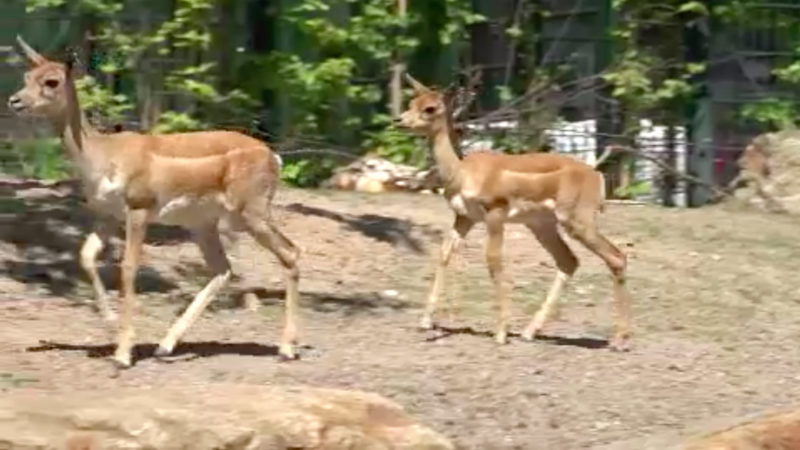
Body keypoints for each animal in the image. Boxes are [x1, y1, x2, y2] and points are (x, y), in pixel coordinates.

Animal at [7, 37, 302, 370]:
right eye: (26, 77)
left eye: (52, 81)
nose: (14, 100)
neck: (103, 156)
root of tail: (274, 158)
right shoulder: (107, 213)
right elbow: (86, 255)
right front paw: (110, 322)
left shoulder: (139, 206)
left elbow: (128, 266)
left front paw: (123, 353)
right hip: (203, 222)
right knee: (223, 268)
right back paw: (165, 346)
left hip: (251, 211)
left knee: (290, 253)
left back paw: (287, 348)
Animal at [398, 74, 632, 350]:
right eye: (412, 102)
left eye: (430, 107)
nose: (399, 120)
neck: (462, 171)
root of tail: (596, 175)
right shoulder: (465, 217)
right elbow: (444, 254)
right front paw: (425, 322)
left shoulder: (495, 213)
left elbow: (493, 261)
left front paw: (500, 334)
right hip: (543, 225)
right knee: (569, 261)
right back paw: (529, 332)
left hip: (577, 222)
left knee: (616, 257)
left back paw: (618, 340)